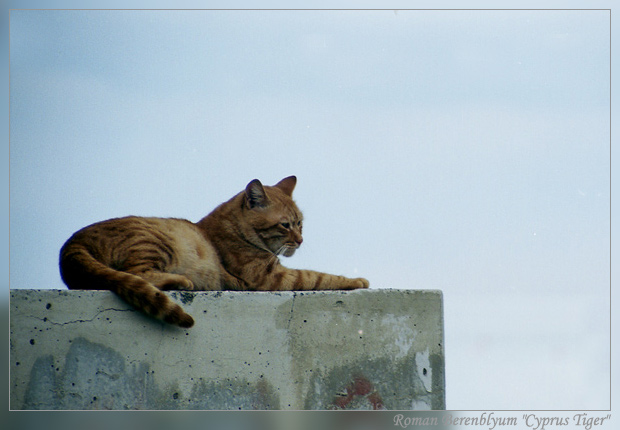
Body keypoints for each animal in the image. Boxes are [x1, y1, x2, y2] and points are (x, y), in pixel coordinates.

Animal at [59, 176, 368, 328]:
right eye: (285, 225)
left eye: (301, 223)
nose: (301, 240)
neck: (234, 229)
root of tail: (72, 242)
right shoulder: (270, 277)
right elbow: (319, 276)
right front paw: (357, 280)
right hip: (157, 241)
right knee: (137, 273)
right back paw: (182, 280)